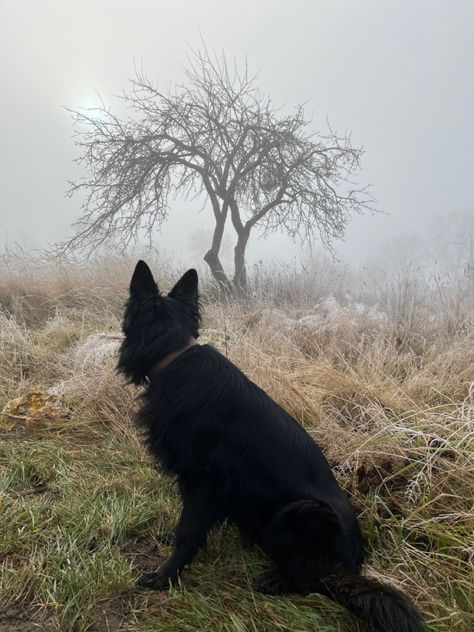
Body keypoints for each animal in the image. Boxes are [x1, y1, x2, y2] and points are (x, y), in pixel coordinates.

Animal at [118, 262, 426, 632]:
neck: (174, 357)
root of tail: (351, 563)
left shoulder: (202, 480)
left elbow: (189, 530)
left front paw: (166, 575)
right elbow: (188, 524)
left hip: (303, 511)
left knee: (311, 579)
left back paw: (278, 581)